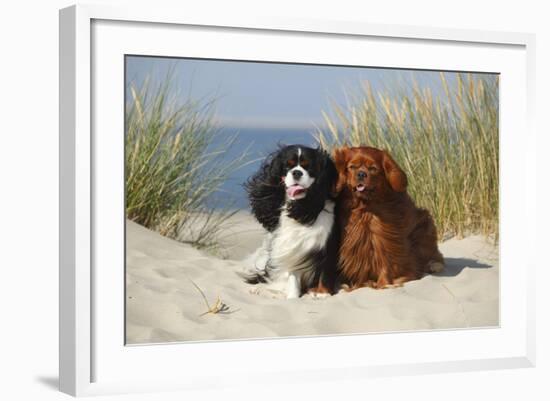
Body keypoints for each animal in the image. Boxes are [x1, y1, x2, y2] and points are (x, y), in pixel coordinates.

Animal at [334, 145, 446, 290]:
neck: (365, 208)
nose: (361, 174)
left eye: (373, 169)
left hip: (424, 225)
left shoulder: (385, 241)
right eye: (352, 167)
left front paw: (384, 284)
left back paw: (433, 265)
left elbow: (386, 264)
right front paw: (356, 285)